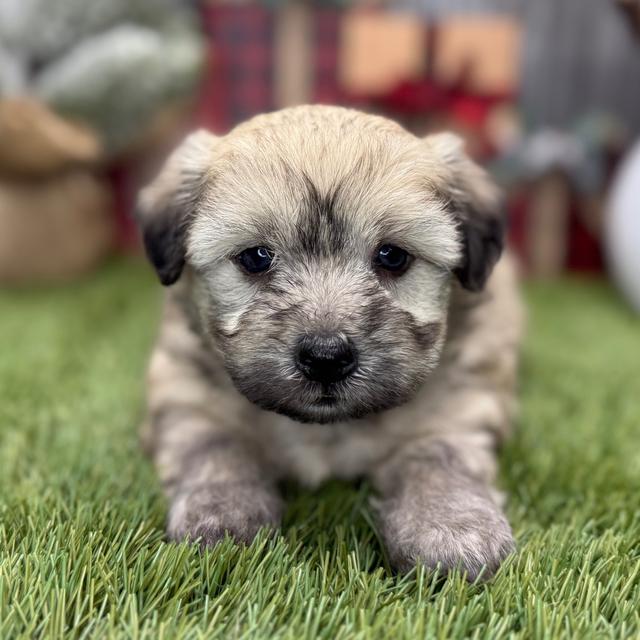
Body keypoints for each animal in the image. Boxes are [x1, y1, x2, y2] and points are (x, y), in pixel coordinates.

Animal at [134, 106, 520, 580]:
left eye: (393, 256)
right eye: (256, 257)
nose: (326, 357)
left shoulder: (458, 404)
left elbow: (437, 455)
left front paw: (451, 527)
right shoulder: (185, 392)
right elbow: (215, 445)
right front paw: (221, 512)